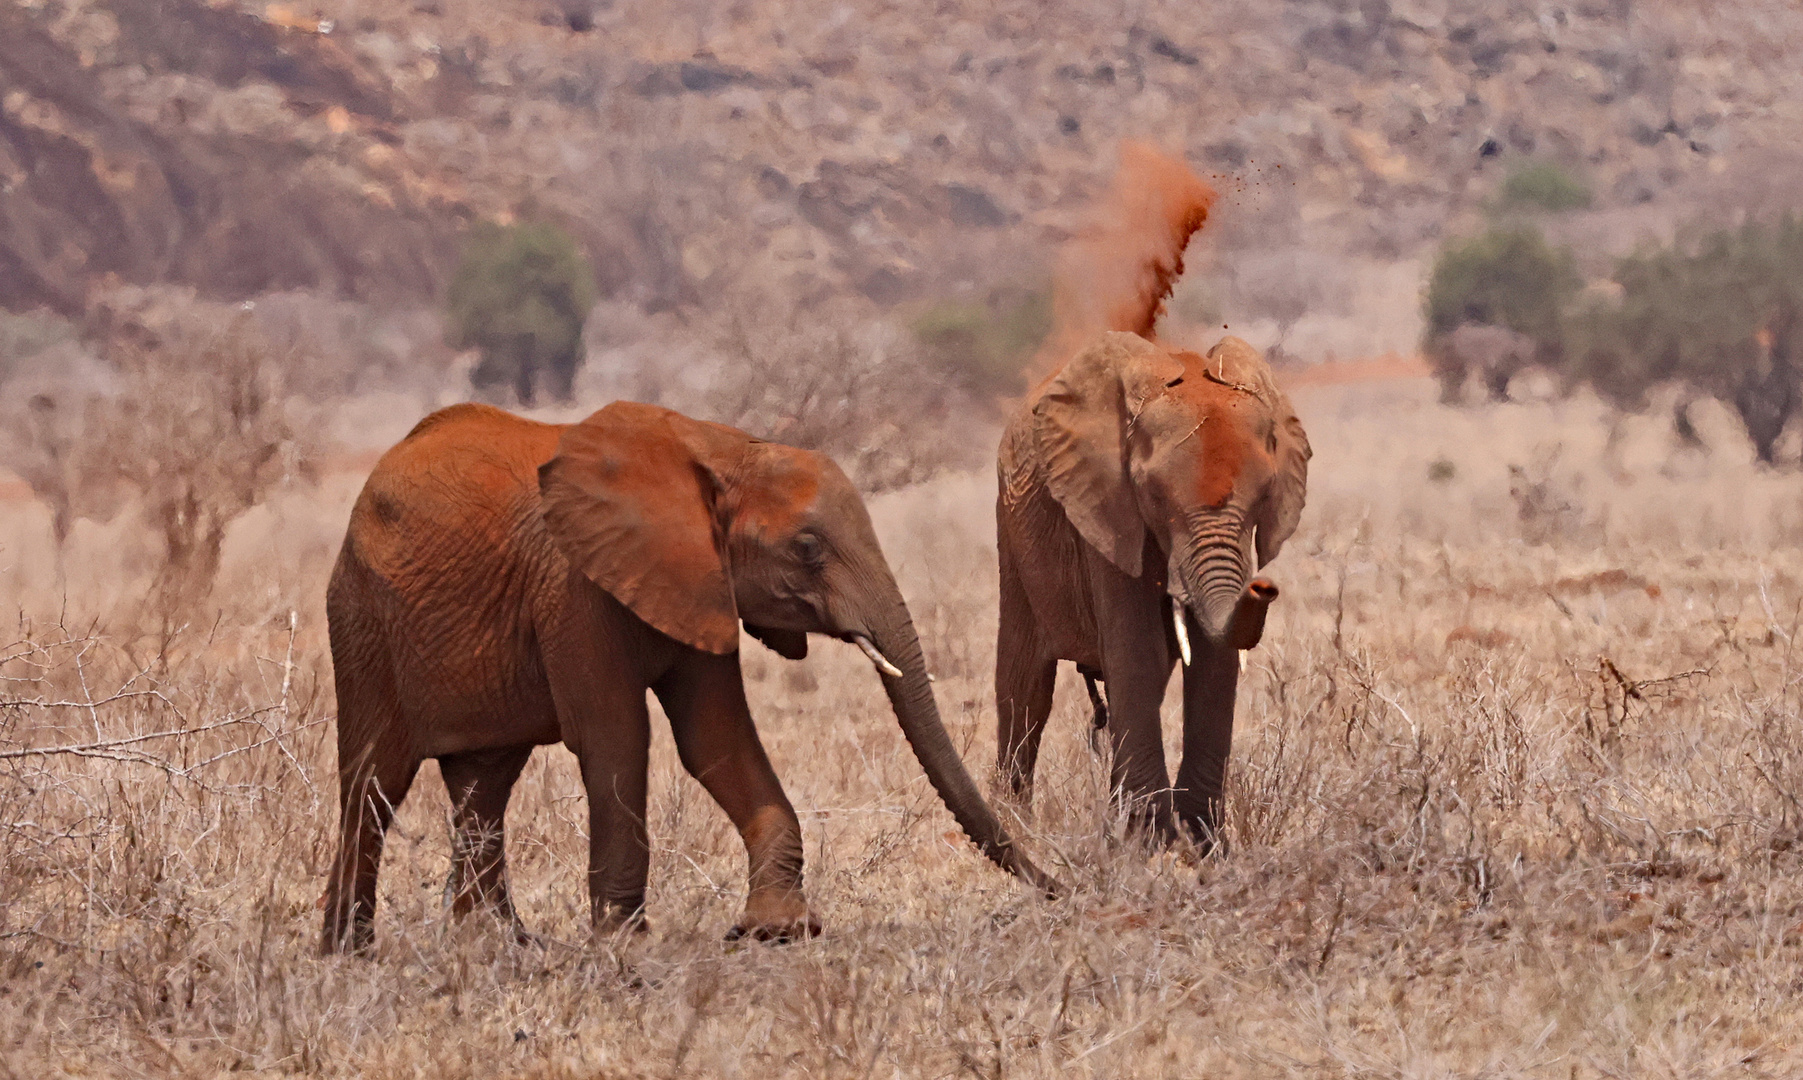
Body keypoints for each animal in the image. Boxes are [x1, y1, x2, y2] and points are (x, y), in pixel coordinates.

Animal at [324, 402, 1052, 951]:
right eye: (807, 548)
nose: (1059, 886)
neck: (722, 449)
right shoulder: (574, 588)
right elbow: (616, 739)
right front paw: (624, 946)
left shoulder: (702, 581)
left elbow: (716, 739)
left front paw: (776, 930)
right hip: (362, 619)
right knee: (374, 783)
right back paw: (350, 954)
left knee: (483, 784)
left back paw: (499, 948)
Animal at [995, 333, 1319, 851]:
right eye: (1152, 494)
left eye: (1265, 494)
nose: (1264, 587)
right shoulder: (1107, 511)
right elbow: (1138, 653)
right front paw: (1149, 840)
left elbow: (1211, 659)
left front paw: (1199, 841)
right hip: (1014, 532)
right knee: (1024, 688)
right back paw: (1016, 827)